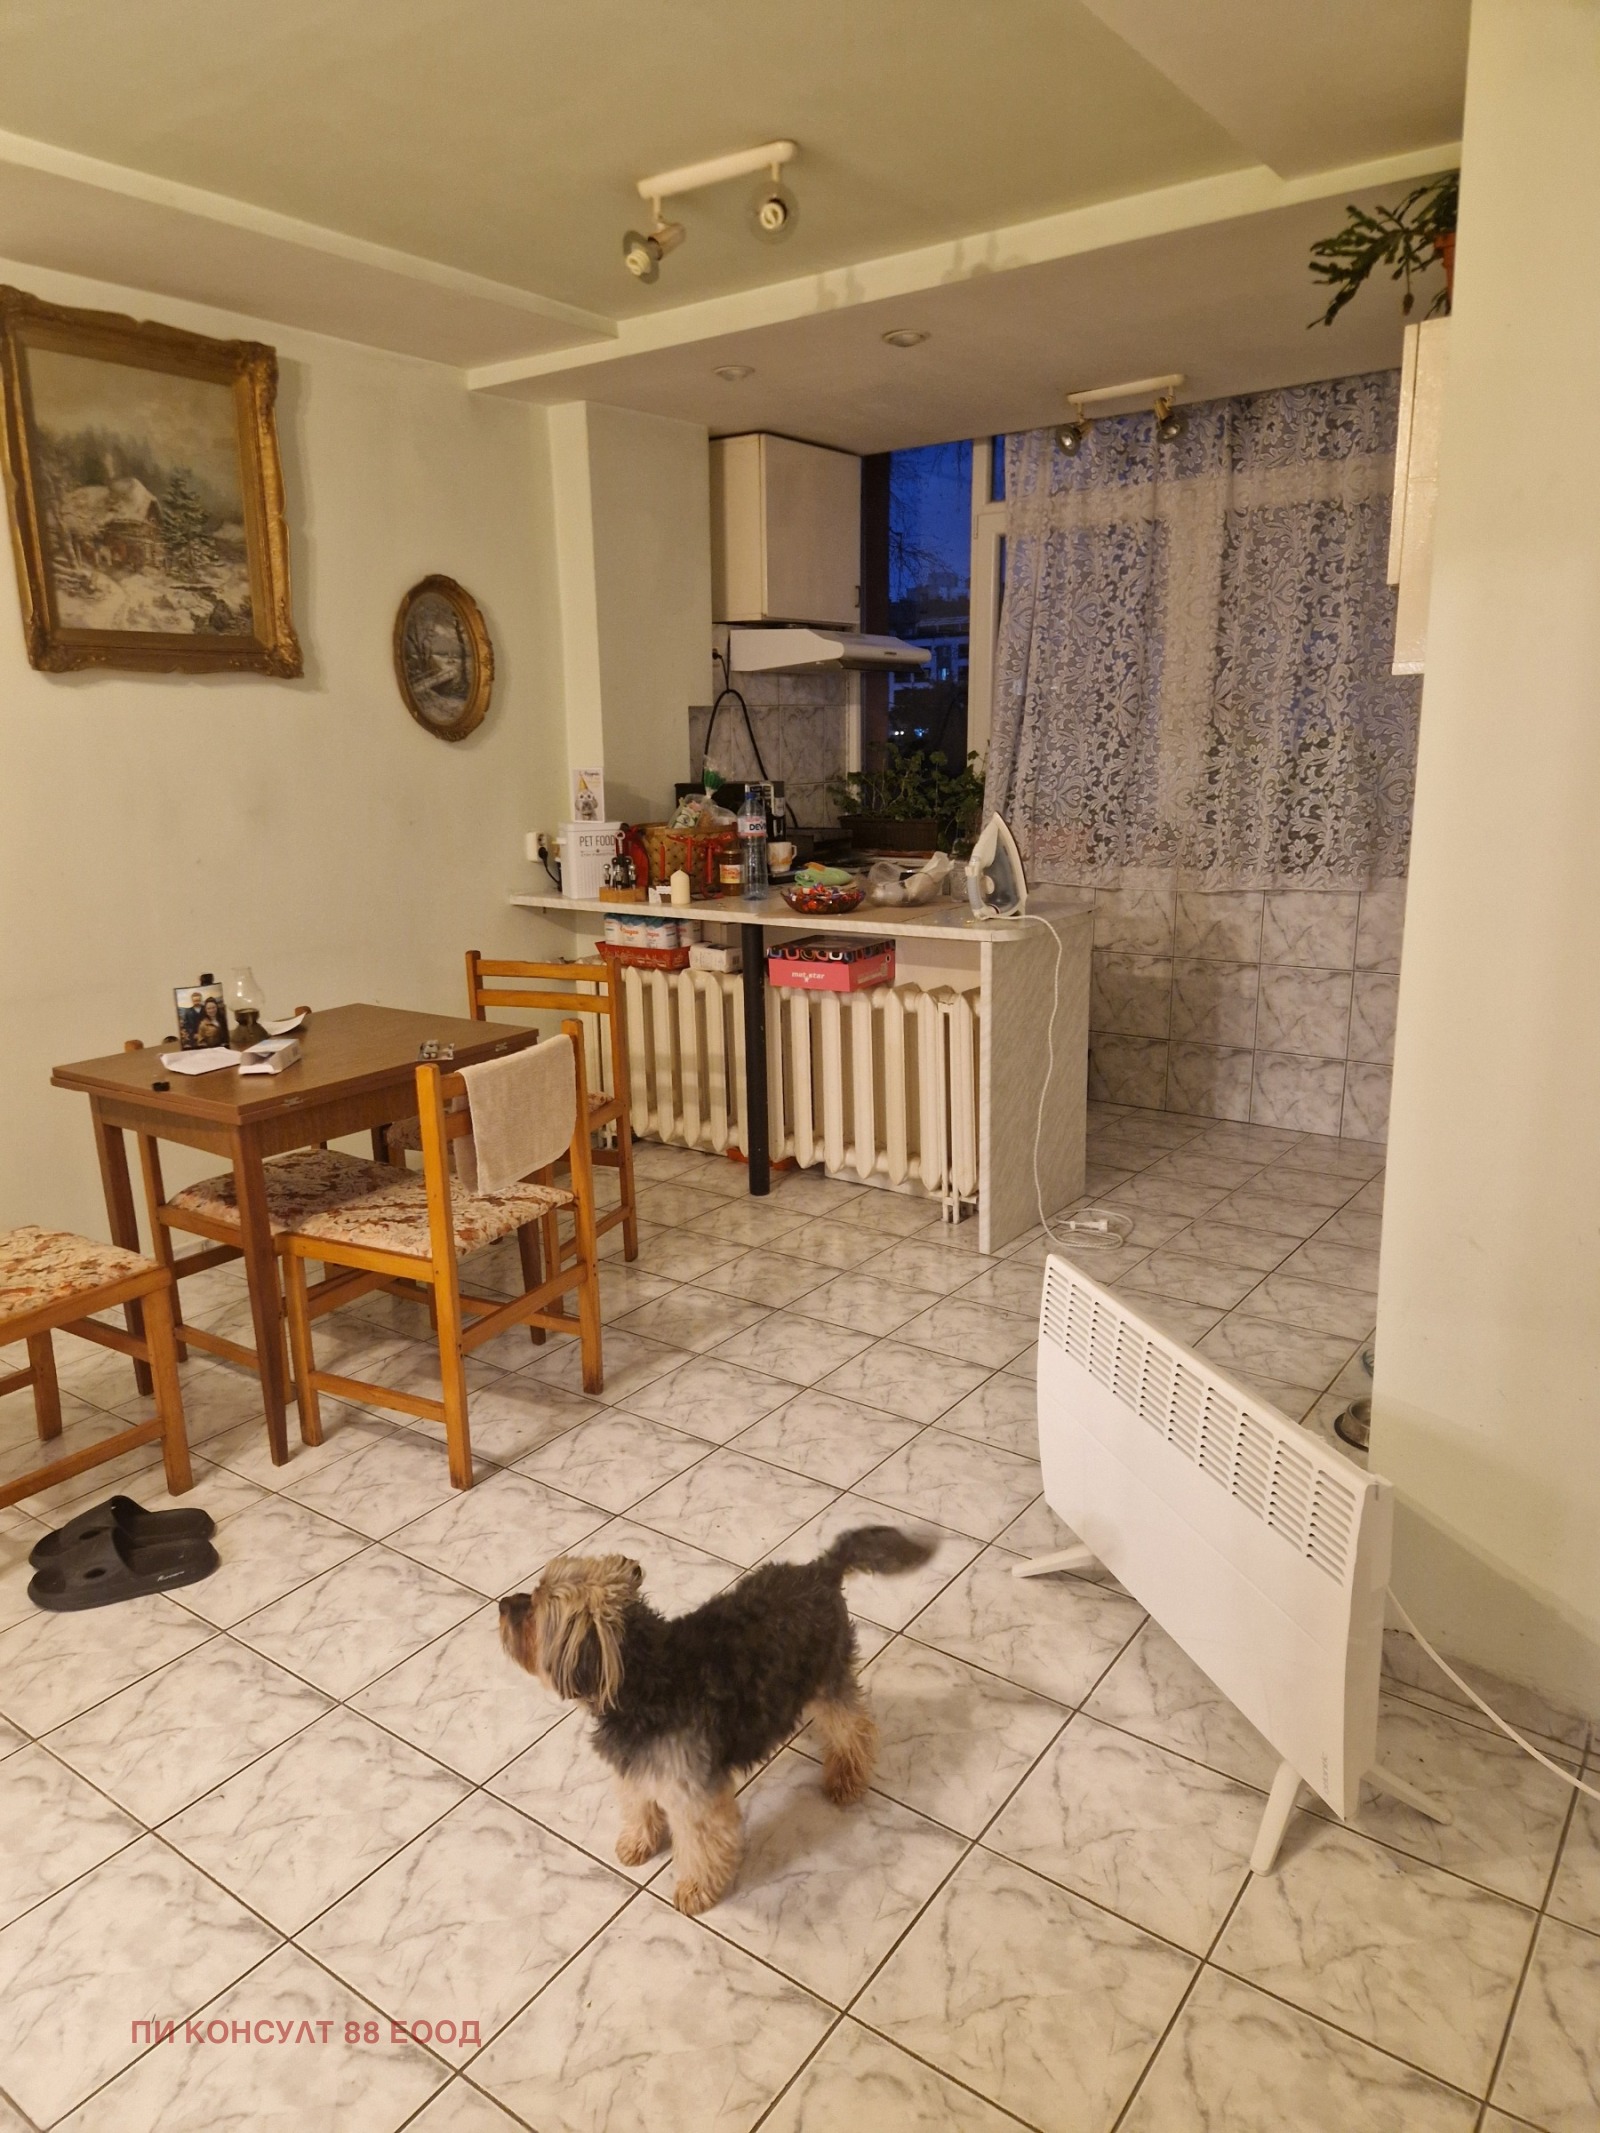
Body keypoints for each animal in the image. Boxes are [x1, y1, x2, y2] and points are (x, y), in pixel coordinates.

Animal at [499, 1525, 934, 1914]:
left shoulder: (694, 1794)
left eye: (534, 1607)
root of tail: (820, 1570)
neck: (642, 1675)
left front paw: (695, 1889)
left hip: (828, 1680)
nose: (503, 1604)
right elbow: (639, 1805)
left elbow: (700, 1844)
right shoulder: (637, 1767)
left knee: (855, 1729)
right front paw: (638, 1842)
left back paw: (846, 1778)